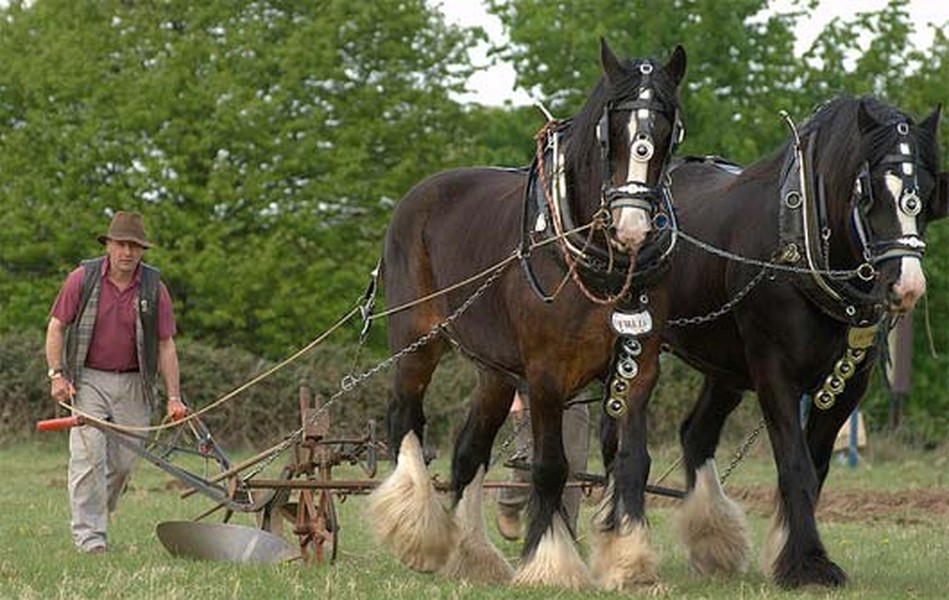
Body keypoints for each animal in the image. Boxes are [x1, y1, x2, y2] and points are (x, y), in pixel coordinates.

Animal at [366, 42, 684, 592]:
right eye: (611, 131)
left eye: (667, 130)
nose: (632, 226)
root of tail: (416, 196)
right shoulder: (545, 375)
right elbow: (551, 465)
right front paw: (550, 562)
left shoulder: (638, 368)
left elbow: (631, 461)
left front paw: (629, 560)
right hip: (416, 340)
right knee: (406, 419)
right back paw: (419, 534)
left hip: (494, 372)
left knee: (469, 450)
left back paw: (472, 554)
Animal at [656, 96, 944, 588]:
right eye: (869, 192)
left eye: (924, 193)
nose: (906, 286)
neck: (803, 238)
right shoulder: (774, 373)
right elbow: (796, 465)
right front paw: (809, 562)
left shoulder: (849, 384)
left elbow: (818, 464)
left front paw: (788, 553)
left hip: (724, 370)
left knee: (696, 434)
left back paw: (711, 542)